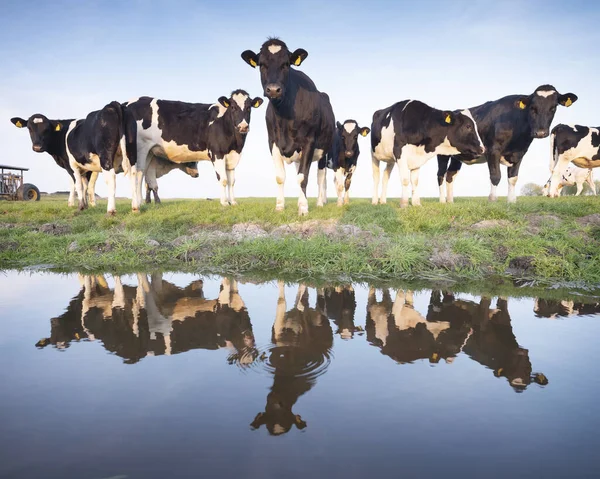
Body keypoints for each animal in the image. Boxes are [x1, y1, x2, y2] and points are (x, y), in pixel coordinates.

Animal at [125, 92, 262, 208]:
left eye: (249, 107)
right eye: (233, 107)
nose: (243, 126)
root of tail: (128, 103)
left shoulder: (232, 156)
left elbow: (231, 181)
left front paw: (233, 202)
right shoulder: (216, 153)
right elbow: (223, 179)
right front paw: (224, 202)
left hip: (148, 152)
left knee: (142, 173)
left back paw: (141, 202)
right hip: (140, 148)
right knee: (137, 174)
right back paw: (137, 203)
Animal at [240, 39, 336, 216]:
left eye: (286, 64)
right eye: (261, 64)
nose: (273, 89)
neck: (285, 115)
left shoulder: (309, 142)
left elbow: (303, 177)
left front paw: (303, 207)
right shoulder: (273, 142)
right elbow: (281, 177)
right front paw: (280, 206)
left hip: (324, 150)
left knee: (320, 177)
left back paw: (319, 203)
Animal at [436, 85, 576, 203]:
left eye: (553, 108)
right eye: (532, 108)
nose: (540, 132)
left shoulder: (519, 153)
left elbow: (513, 178)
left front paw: (511, 201)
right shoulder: (492, 150)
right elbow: (495, 176)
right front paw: (492, 199)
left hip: (456, 156)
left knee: (450, 175)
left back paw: (450, 201)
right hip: (442, 154)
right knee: (440, 175)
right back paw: (442, 201)